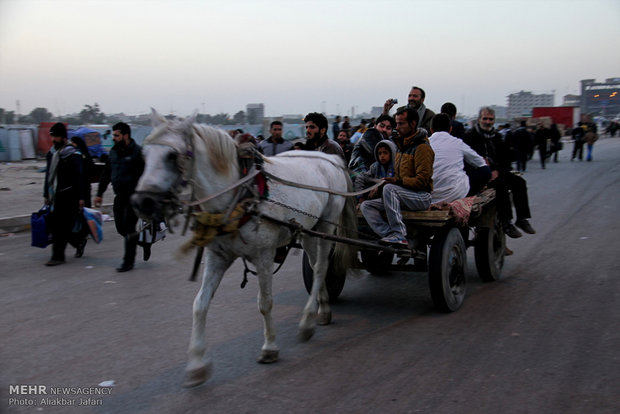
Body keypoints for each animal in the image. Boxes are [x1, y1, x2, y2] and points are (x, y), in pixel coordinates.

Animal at [133, 109, 356, 384]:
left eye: (172, 156)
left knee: (322, 268)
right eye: (143, 155)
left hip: (326, 227)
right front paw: (197, 363)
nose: (141, 202)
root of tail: (331, 158)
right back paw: (322, 310)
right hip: (307, 231)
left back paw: (307, 322)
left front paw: (269, 347)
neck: (240, 195)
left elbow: (265, 302)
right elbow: (199, 305)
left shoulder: (264, 255)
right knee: (316, 267)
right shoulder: (217, 257)